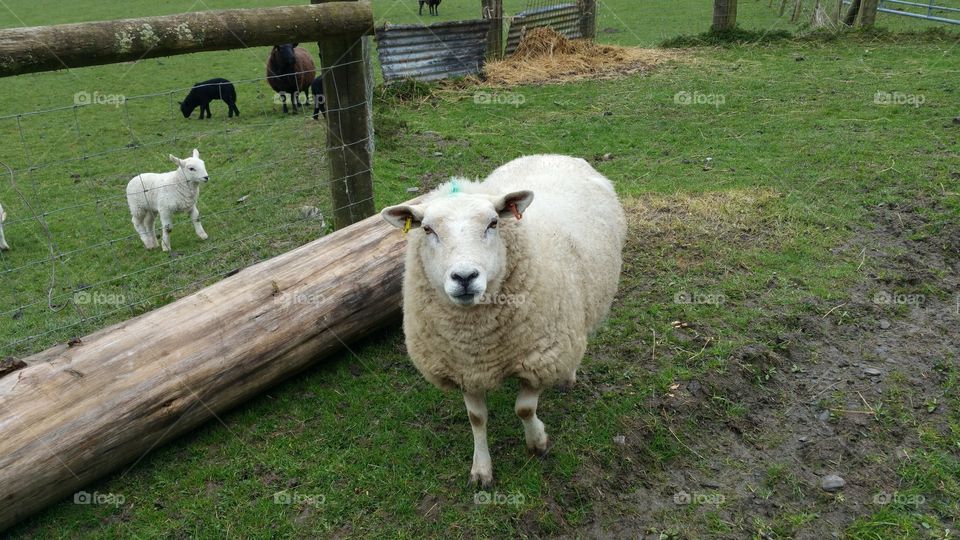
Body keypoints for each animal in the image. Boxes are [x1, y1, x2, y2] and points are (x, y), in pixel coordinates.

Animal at [380, 154, 626, 487]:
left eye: (493, 223)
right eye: (428, 230)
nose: (465, 277)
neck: (477, 340)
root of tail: (551, 155)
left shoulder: (539, 358)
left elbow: (523, 408)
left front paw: (537, 441)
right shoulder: (464, 368)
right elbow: (476, 418)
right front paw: (481, 469)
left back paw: (568, 376)